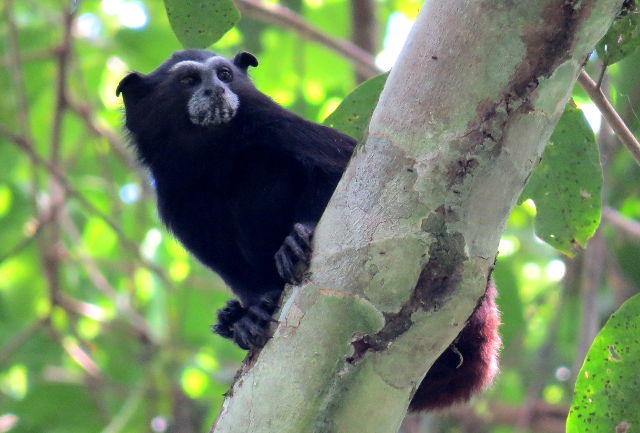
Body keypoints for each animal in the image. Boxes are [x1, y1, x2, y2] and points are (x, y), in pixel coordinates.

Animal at [117, 50, 502, 408]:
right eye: (188, 81)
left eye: (224, 74)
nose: (215, 90)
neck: (211, 153)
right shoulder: (174, 196)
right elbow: (225, 262)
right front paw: (251, 313)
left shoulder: (276, 126)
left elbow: (343, 175)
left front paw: (298, 237)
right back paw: (237, 317)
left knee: (257, 164)